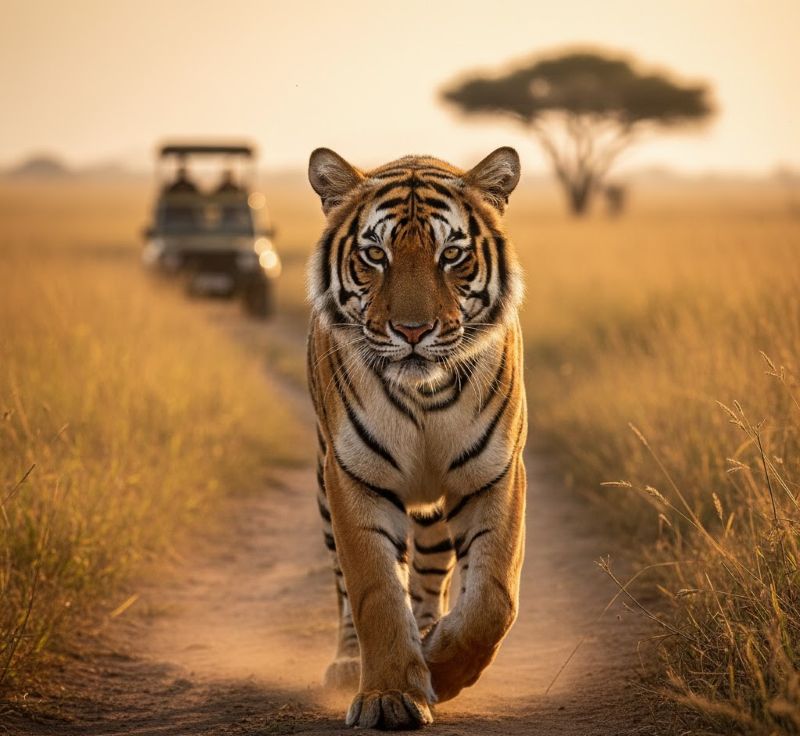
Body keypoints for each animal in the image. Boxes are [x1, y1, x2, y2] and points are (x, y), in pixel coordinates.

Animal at [306, 146, 527, 730]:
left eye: (451, 255)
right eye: (374, 255)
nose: (411, 331)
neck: (426, 396)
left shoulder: (495, 474)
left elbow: (493, 599)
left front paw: (442, 669)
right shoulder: (354, 478)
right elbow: (375, 592)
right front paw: (388, 696)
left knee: (432, 574)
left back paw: (428, 635)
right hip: (324, 487)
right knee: (344, 587)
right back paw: (348, 663)